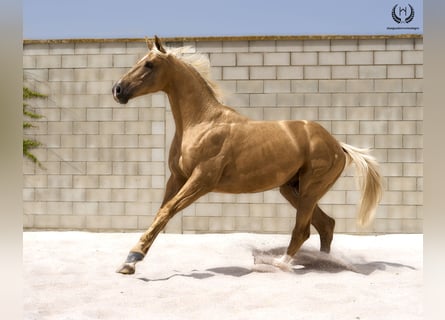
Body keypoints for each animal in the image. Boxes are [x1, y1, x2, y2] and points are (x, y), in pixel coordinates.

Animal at [112, 35, 382, 276]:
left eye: (149, 64)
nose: (118, 90)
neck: (202, 122)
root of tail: (339, 146)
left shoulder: (201, 181)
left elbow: (167, 211)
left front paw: (133, 258)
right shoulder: (177, 178)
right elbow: (160, 213)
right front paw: (129, 262)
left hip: (310, 190)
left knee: (303, 230)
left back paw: (280, 264)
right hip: (291, 189)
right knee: (325, 225)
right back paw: (321, 262)